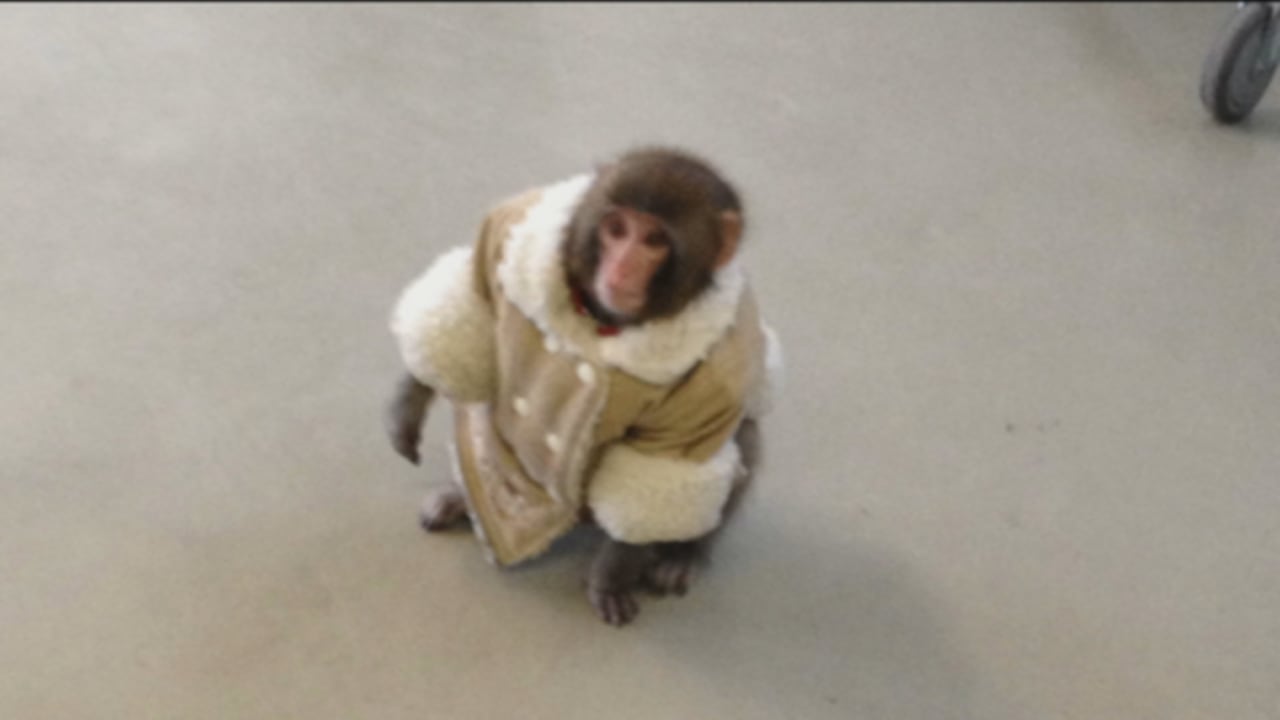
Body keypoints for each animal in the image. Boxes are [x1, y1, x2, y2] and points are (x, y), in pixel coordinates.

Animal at [385, 147, 783, 626]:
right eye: (617, 229)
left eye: (655, 240)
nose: (621, 267)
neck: (601, 320)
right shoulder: (503, 231)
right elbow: (471, 305)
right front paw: (407, 404)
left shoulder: (715, 385)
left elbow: (652, 477)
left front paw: (609, 580)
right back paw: (462, 496)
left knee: (741, 446)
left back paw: (682, 554)